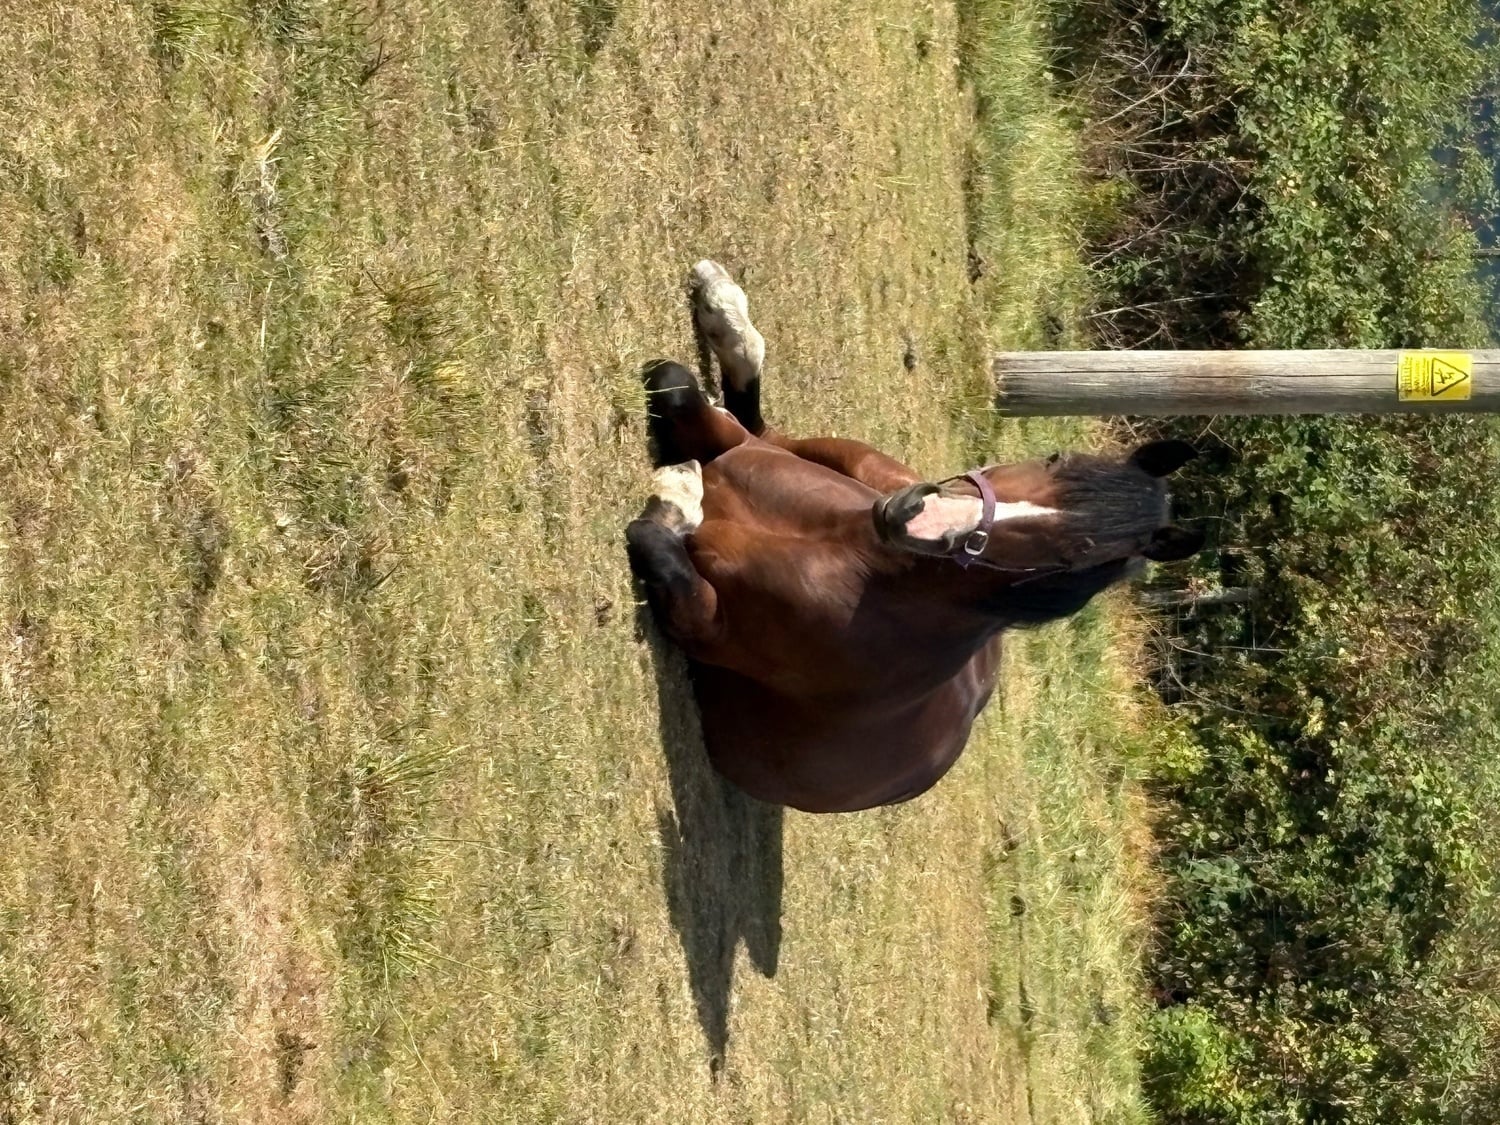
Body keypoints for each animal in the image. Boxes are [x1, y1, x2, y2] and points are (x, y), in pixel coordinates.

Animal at [627, 260, 1202, 813]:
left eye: (1074, 555)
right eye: (1054, 458)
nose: (910, 514)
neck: (859, 560)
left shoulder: (708, 625)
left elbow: (659, 543)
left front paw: (678, 494)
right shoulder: (734, 449)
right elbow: (678, 385)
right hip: (862, 460)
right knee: (766, 423)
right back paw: (723, 303)